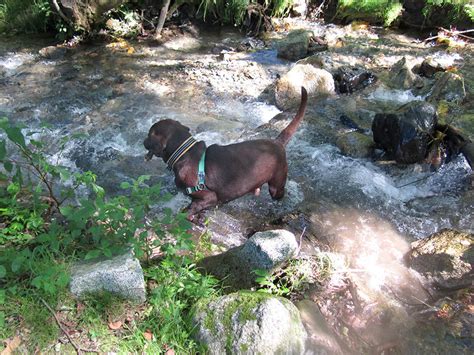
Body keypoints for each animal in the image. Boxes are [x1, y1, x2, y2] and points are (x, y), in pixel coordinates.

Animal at [143, 87, 308, 221]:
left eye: (149, 134)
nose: (143, 140)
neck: (184, 153)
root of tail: (277, 142)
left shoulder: (207, 197)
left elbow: (186, 212)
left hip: (276, 184)